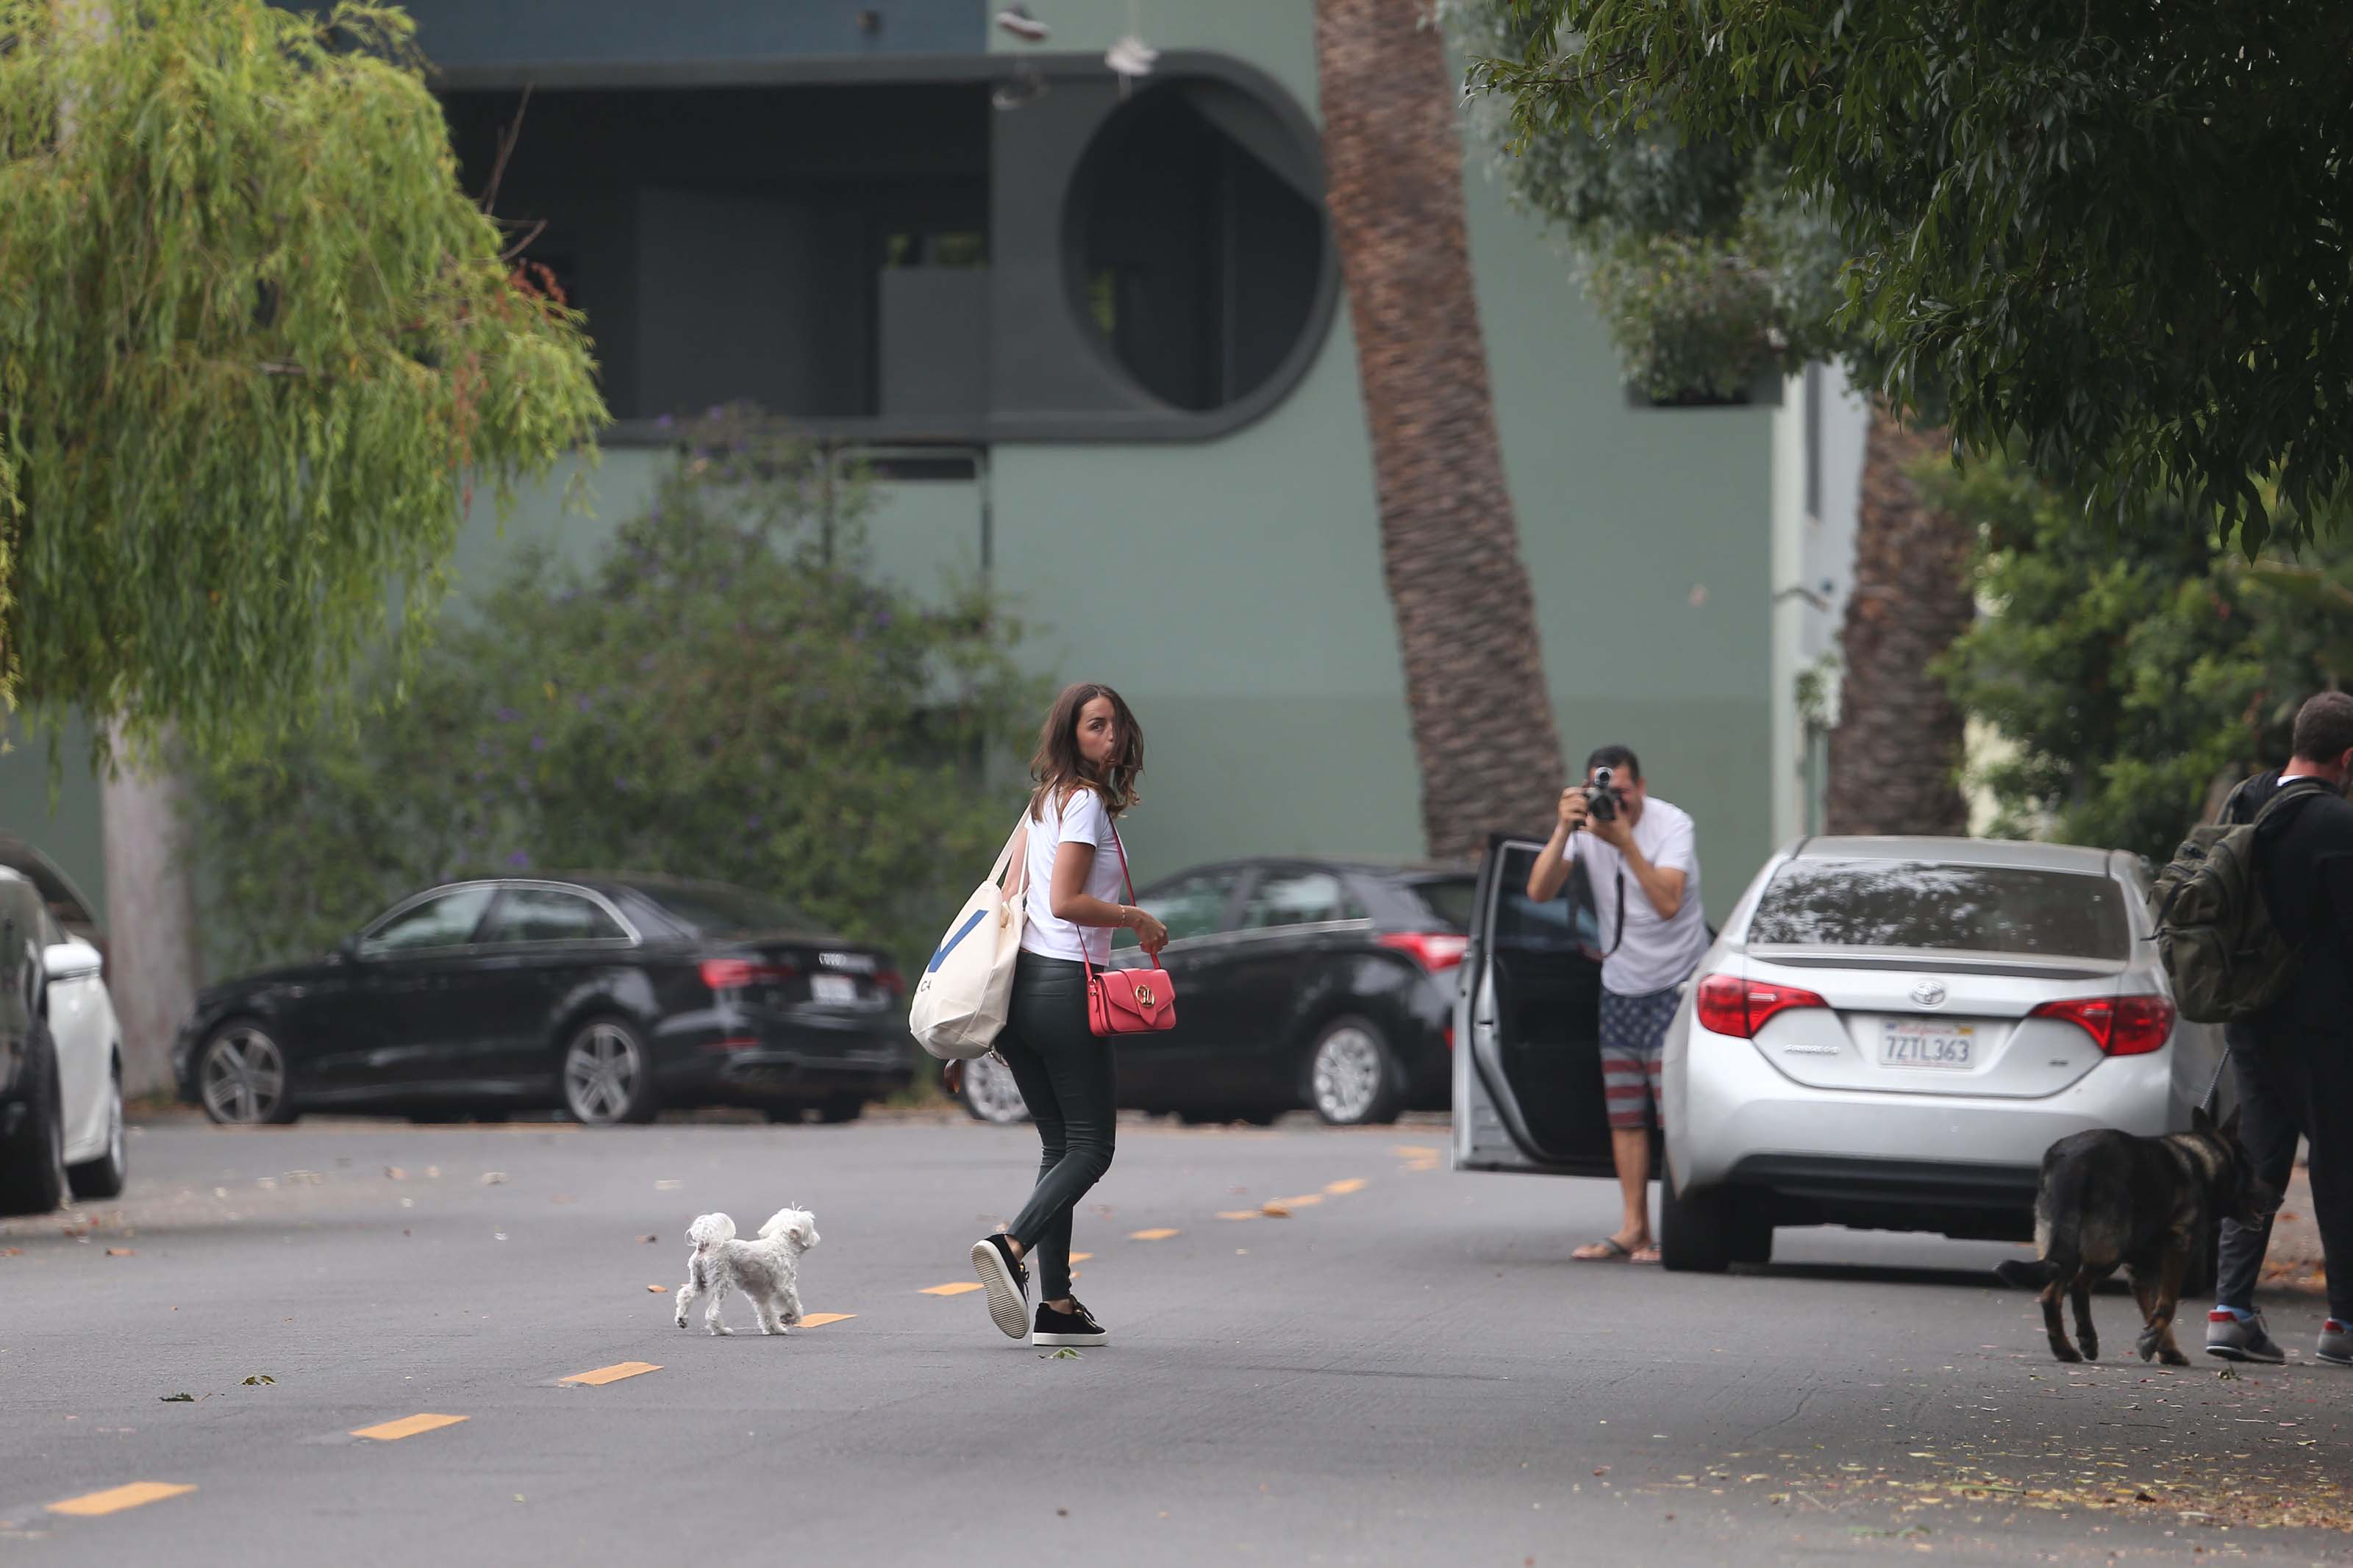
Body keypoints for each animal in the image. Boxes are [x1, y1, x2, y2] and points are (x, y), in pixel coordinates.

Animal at [677, 1203, 824, 1335]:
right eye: (811, 1228)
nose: (817, 1237)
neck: (783, 1246)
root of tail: (705, 1245)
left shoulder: (760, 1294)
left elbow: (767, 1312)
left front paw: (775, 1329)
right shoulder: (785, 1287)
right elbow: (794, 1305)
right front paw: (789, 1318)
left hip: (699, 1279)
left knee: (686, 1294)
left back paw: (681, 1319)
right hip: (721, 1283)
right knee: (712, 1313)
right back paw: (722, 1331)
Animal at [1995, 1109, 2268, 1363]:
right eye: (2253, 1169)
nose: (2275, 1197)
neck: (2206, 1161)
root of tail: (2075, 1162)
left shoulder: (2142, 1268)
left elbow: (2153, 1308)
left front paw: (2165, 1348)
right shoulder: (2178, 1249)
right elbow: (2167, 1304)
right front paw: (2154, 1342)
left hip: (2067, 1249)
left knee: (2050, 1295)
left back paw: (2065, 1349)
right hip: (2108, 1253)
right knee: (2079, 1286)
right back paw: (2087, 1338)